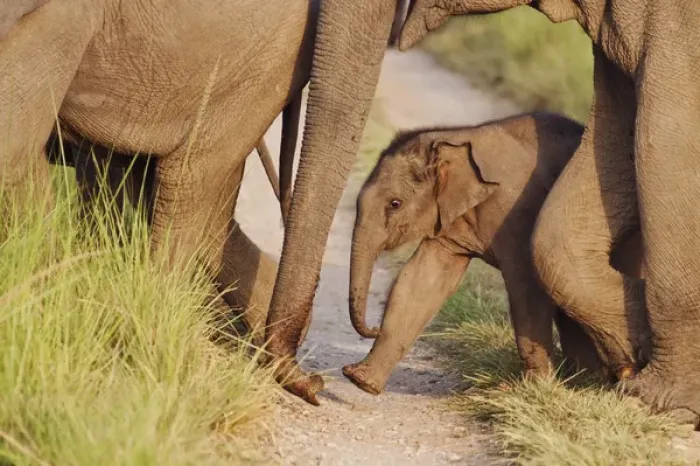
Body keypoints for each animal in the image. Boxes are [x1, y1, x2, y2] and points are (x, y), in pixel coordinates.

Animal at [340, 112, 645, 395]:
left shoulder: (517, 211)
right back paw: (586, 380)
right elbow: (421, 280)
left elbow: (526, 284)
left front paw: (533, 387)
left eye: (395, 204)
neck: (456, 137)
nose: (372, 329)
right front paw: (361, 381)